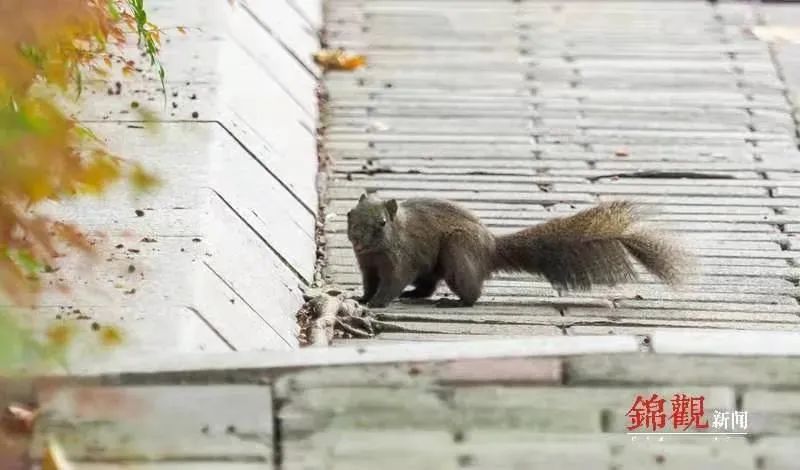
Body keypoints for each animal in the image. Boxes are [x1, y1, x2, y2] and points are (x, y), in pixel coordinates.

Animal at [344, 193, 688, 310]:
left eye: (382, 223)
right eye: (349, 214)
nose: (357, 239)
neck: (375, 252)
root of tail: (489, 248)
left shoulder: (400, 259)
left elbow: (392, 283)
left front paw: (376, 303)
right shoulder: (366, 264)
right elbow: (370, 282)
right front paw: (361, 298)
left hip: (457, 251)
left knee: (470, 292)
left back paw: (454, 303)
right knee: (428, 284)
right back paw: (417, 296)